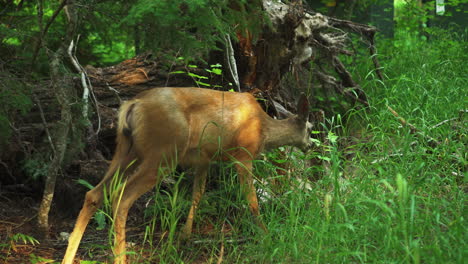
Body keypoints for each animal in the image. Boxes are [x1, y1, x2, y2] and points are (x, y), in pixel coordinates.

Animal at [61, 87, 310, 264]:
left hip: (127, 149)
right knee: (121, 198)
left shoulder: (204, 159)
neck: (264, 130)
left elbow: (197, 195)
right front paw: (266, 234)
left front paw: (185, 235)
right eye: (309, 128)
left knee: (94, 194)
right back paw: (120, 258)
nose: (311, 146)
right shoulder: (243, 155)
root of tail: (133, 104)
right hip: (162, 152)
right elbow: (252, 201)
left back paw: (68, 257)